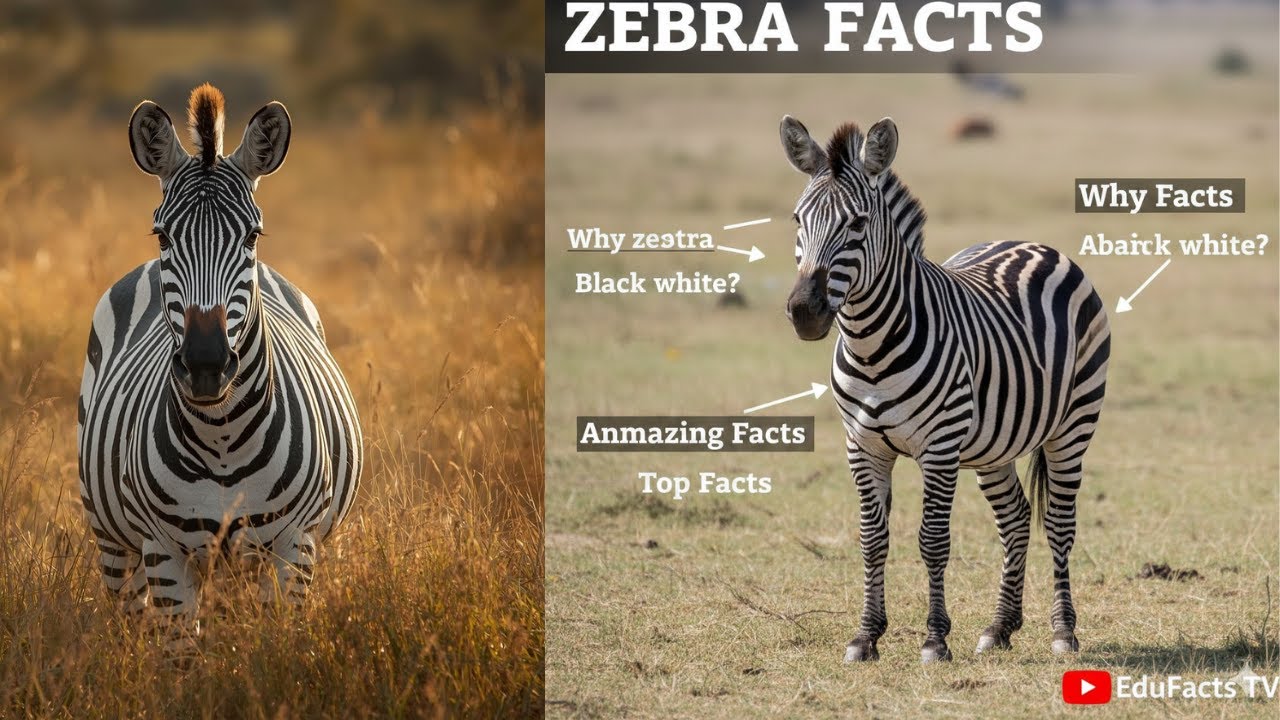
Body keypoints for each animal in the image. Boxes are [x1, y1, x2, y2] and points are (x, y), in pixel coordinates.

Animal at [77, 84, 362, 628]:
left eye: (252, 235)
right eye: (163, 235)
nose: (206, 365)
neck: (222, 439)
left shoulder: (295, 547)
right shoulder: (164, 552)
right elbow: (180, 648)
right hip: (115, 545)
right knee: (128, 615)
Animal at [779, 116, 1110, 663]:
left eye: (858, 224)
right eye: (796, 221)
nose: (805, 312)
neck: (871, 347)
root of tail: (1033, 244)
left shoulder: (939, 446)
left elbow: (933, 540)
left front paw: (935, 639)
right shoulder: (861, 446)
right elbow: (872, 538)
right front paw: (865, 636)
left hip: (1074, 424)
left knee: (1059, 523)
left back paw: (1063, 632)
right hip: (995, 443)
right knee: (1016, 518)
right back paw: (999, 628)